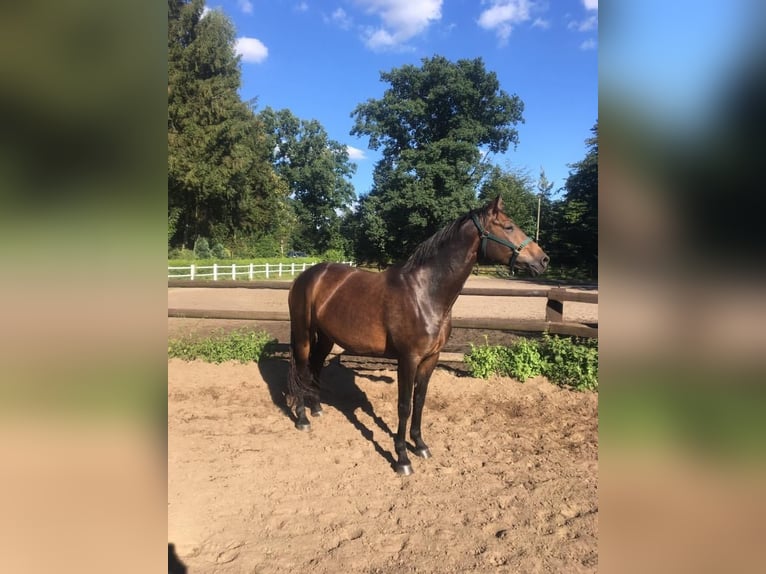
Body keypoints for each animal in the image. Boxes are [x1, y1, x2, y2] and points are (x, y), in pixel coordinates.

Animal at [286, 198, 544, 476]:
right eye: (508, 227)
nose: (544, 259)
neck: (424, 293)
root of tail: (307, 275)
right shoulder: (408, 359)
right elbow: (404, 406)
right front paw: (402, 458)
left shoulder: (431, 358)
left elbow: (419, 401)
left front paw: (420, 445)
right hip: (302, 335)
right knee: (301, 370)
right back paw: (302, 418)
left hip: (325, 338)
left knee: (315, 367)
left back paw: (316, 408)